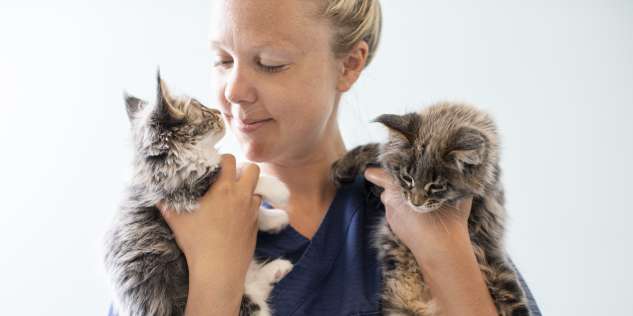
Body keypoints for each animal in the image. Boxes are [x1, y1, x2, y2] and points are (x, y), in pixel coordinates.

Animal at [103, 73, 292, 316]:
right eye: (204, 110)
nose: (219, 111)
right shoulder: (189, 188)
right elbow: (241, 169)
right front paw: (281, 191)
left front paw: (276, 218)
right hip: (246, 305)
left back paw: (280, 267)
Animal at [330, 102, 528, 316]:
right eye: (408, 178)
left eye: (435, 186)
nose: (415, 203)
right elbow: (379, 149)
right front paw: (344, 168)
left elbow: (378, 149)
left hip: (500, 273)